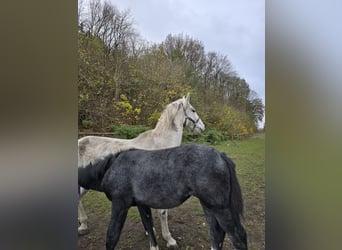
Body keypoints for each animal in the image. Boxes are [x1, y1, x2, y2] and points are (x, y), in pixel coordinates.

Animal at [79, 144, 247, 249]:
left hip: (219, 207)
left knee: (238, 236)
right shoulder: (142, 204)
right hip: (208, 206)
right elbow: (149, 227)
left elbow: (112, 236)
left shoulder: (120, 204)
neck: (110, 168)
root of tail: (220, 155)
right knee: (217, 234)